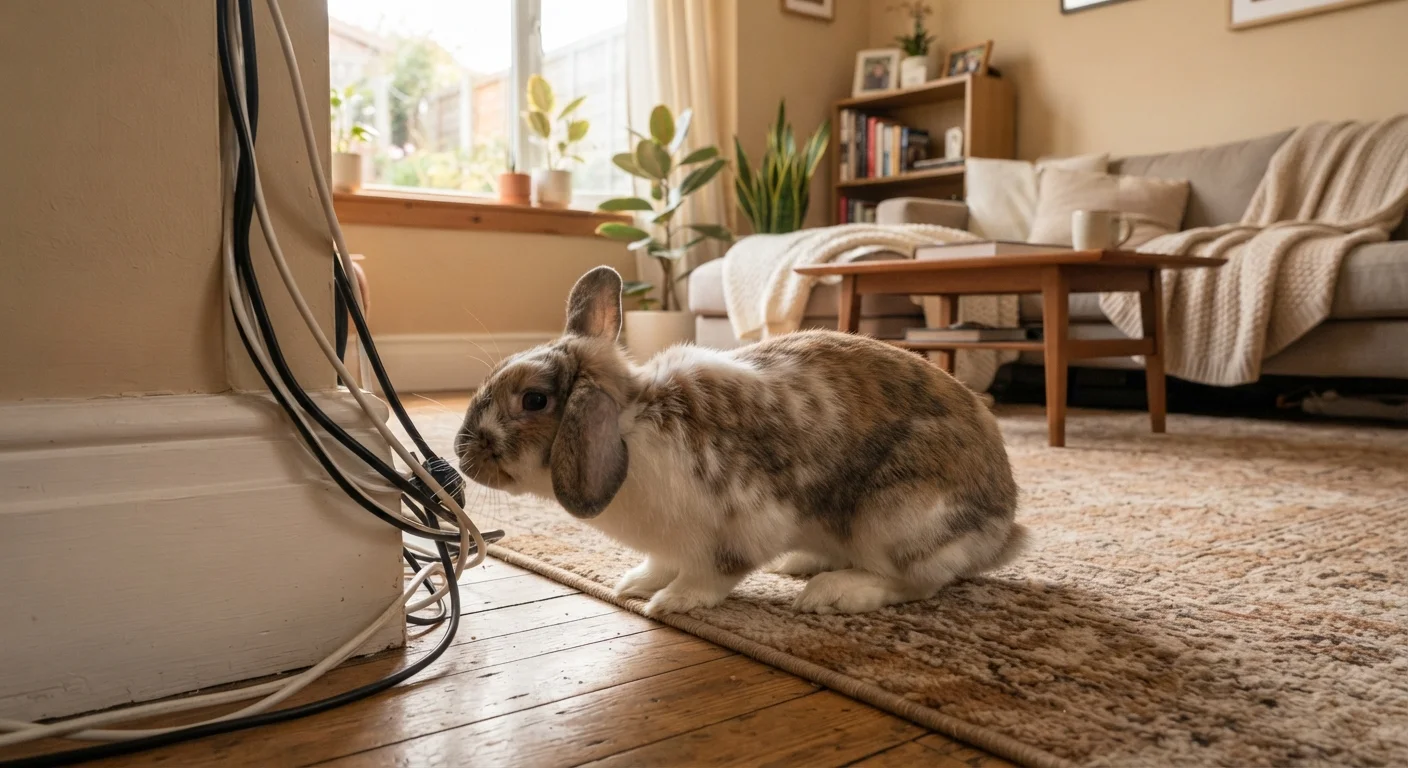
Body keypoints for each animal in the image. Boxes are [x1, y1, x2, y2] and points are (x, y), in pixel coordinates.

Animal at [455, 266, 1026, 616]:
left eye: (533, 400)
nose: (462, 454)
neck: (632, 426)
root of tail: (1001, 530)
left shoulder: (743, 524)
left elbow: (713, 573)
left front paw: (673, 601)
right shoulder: (671, 540)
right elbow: (662, 562)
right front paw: (635, 583)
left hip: (896, 517)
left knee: (917, 582)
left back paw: (831, 592)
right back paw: (804, 565)